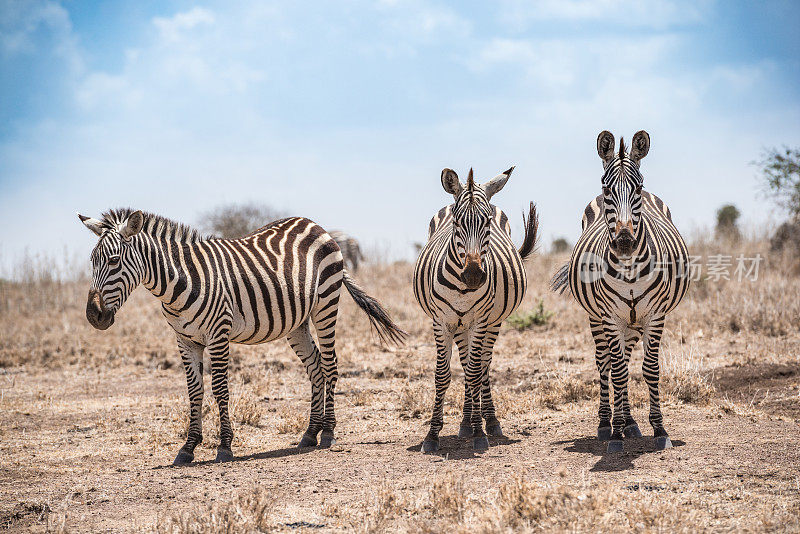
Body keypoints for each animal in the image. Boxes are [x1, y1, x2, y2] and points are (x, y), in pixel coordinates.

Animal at [78, 209, 406, 464]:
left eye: (114, 261)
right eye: (92, 260)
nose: (94, 316)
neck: (179, 282)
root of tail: (315, 224)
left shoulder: (218, 333)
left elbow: (220, 388)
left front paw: (224, 446)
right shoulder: (185, 341)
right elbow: (194, 391)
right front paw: (188, 448)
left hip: (326, 303)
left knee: (330, 364)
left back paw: (328, 432)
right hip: (297, 322)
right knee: (315, 368)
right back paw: (310, 433)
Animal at [412, 166, 536, 452]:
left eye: (487, 222)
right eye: (457, 223)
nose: (473, 275)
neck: (462, 288)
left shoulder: (480, 321)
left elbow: (475, 373)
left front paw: (480, 432)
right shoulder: (441, 322)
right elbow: (443, 375)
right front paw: (432, 435)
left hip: (492, 322)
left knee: (482, 365)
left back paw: (487, 421)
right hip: (460, 326)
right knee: (469, 361)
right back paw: (466, 422)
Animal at [552, 132, 692, 454]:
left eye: (637, 188)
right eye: (606, 189)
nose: (625, 242)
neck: (628, 268)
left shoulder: (655, 315)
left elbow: (649, 369)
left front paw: (659, 429)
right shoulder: (609, 317)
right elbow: (615, 371)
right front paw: (615, 434)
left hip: (634, 321)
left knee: (625, 362)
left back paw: (629, 422)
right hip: (598, 317)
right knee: (605, 362)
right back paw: (607, 423)